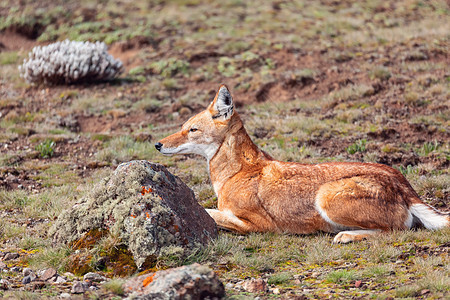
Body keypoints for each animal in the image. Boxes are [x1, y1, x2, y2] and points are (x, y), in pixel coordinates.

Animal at [155, 83, 446, 243]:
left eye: (192, 130)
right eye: (182, 127)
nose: (157, 144)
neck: (234, 172)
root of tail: (402, 182)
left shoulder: (261, 225)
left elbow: (211, 213)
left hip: (325, 197)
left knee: (398, 231)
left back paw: (347, 236)